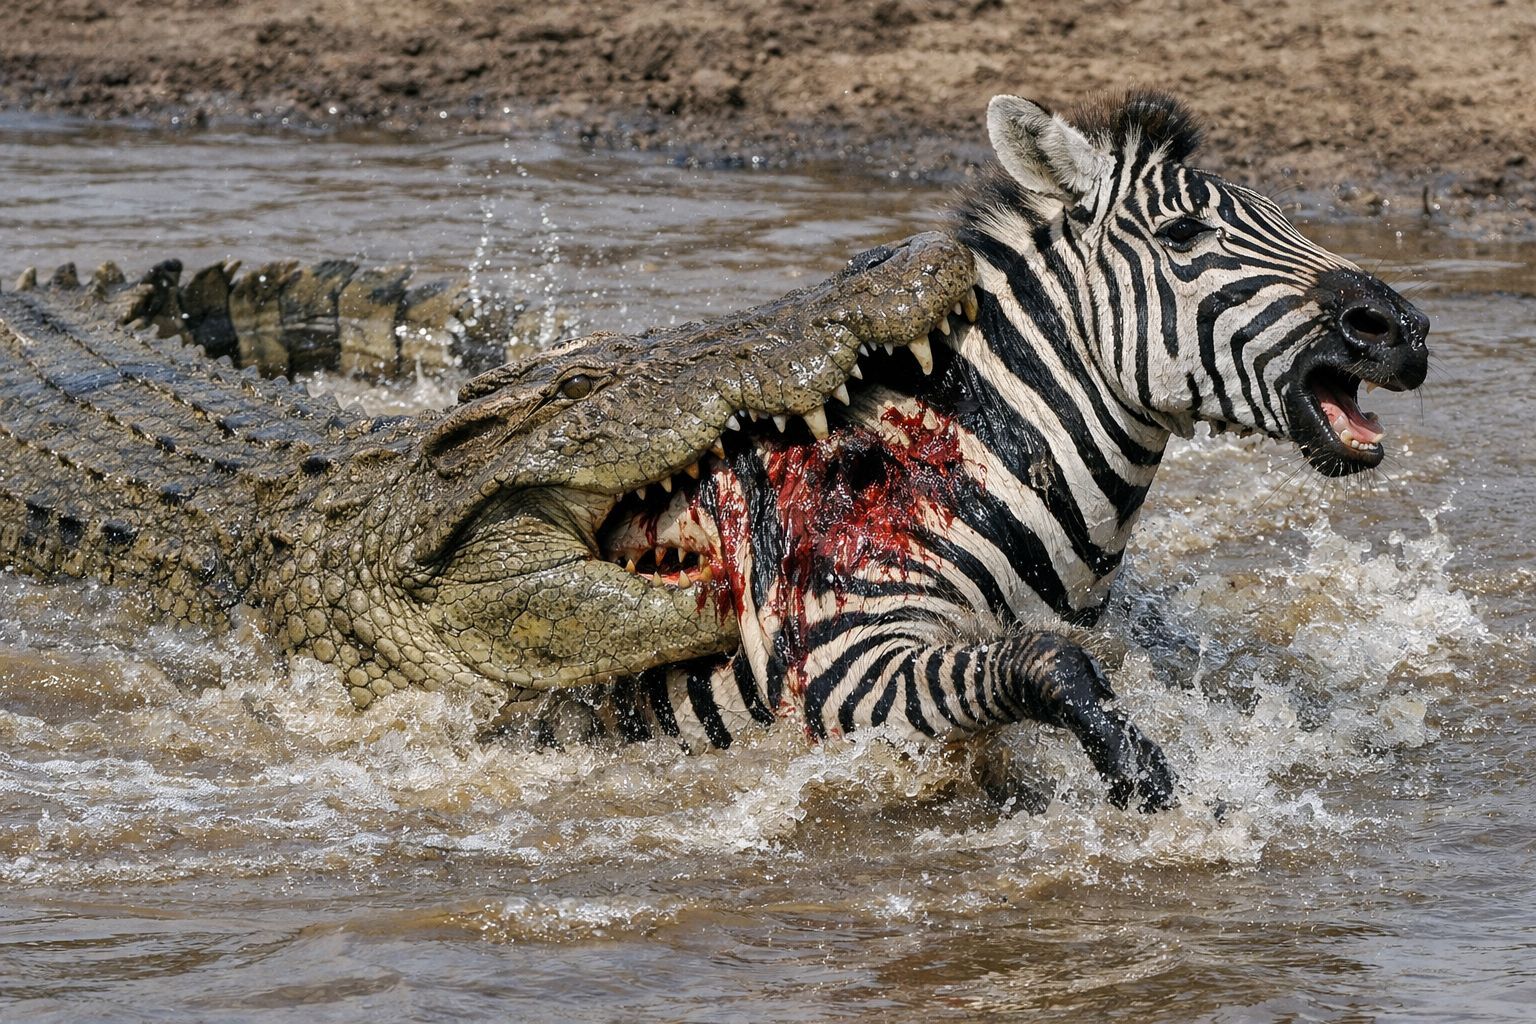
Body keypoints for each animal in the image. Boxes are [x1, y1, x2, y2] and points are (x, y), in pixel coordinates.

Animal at [560, 90, 1431, 812]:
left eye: (1286, 217)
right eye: (1184, 233)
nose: (1404, 329)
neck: (972, 461)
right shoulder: (841, 659)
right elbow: (1050, 664)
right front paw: (1145, 780)